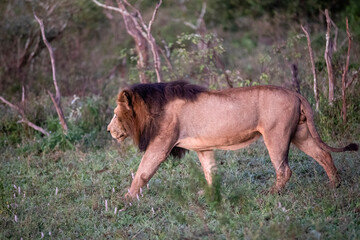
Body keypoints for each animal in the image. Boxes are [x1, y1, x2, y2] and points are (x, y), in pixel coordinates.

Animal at [107, 79, 358, 198]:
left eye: (115, 114)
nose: (109, 130)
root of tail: (294, 92)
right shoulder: (203, 148)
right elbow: (210, 171)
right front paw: (209, 193)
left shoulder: (160, 145)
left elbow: (142, 173)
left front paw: (126, 199)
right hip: (301, 133)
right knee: (323, 154)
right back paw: (334, 185)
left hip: (276, 135)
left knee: (285, 169)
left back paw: (271, 194)